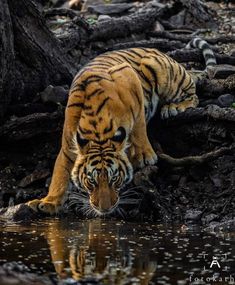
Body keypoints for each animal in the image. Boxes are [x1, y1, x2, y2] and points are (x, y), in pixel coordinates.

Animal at [27, 37, 217, 215]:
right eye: (91, 181)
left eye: (114, 179)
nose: (104, 209)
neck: (97, 130)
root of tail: (161, 52)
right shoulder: (68, 146)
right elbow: (59, 175)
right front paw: (48, 202)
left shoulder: (129, 77)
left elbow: (139, 125)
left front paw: (145, 156)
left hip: (162, 72)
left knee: (193, 96)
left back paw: (173, 107)